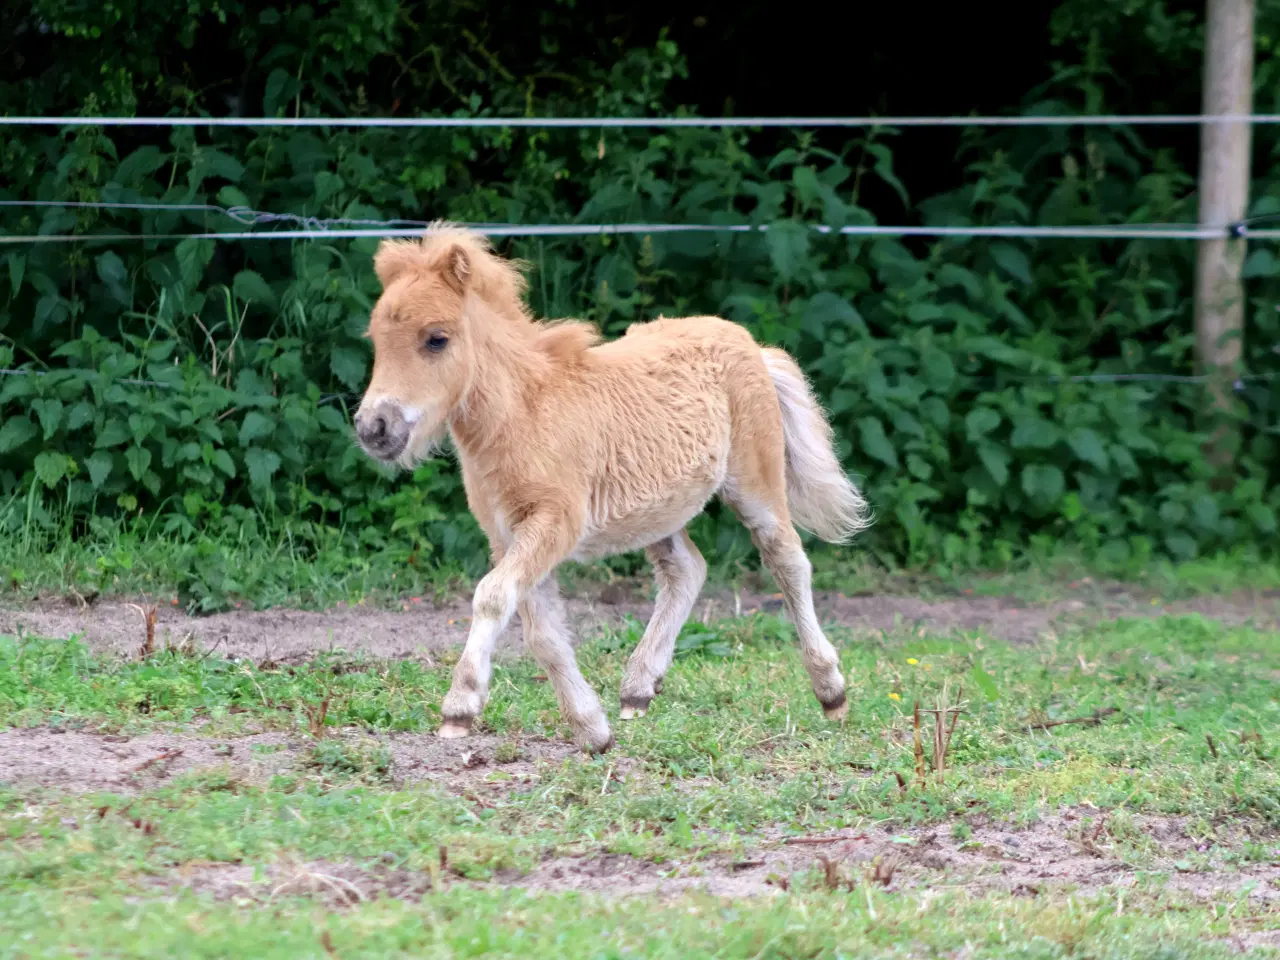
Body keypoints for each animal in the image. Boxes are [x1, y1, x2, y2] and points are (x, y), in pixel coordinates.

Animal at [353, 224, 870, 752]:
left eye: (436, 339)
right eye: (376, 339)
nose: (374, 427)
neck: (523, 413)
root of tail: (748, 341)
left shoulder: (555, 522)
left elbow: (494, 598)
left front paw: (460, 705)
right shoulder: (507, 534)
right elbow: (541, 631)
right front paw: (591, 728)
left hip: (755, 482)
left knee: (788, 560)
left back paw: (831, 691)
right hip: (658, 509)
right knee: (687, 570)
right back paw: (638, 688)